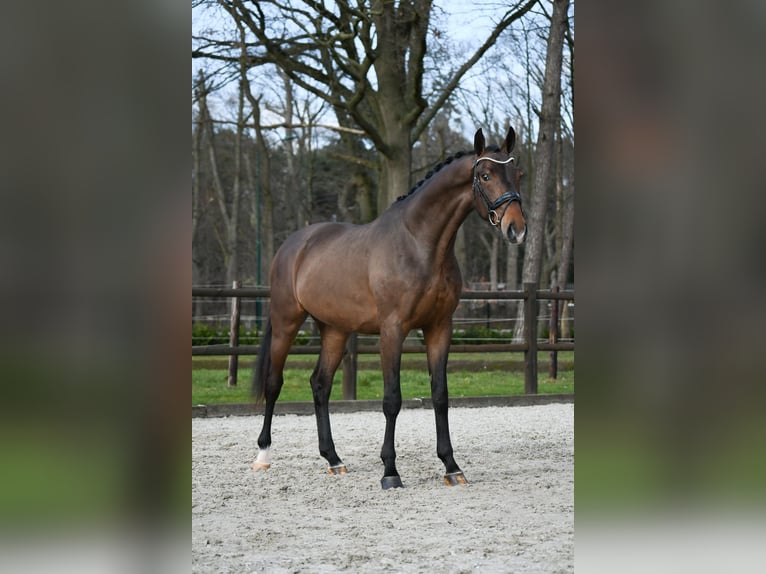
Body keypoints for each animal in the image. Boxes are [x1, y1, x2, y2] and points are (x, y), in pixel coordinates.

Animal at [252, 127, 526, 489]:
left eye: (519, 174)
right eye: (485, 175)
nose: (516, 229)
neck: (419, 245)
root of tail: (294, 245)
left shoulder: (440, 327)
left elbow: (440, 395)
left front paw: (451, 466)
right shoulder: (392, 330)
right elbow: (392, 399)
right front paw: (390, 471)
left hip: (335, 330)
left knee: (320, 385)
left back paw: (334, 458)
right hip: (286, 321)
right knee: (274, 382)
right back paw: (263, 455)